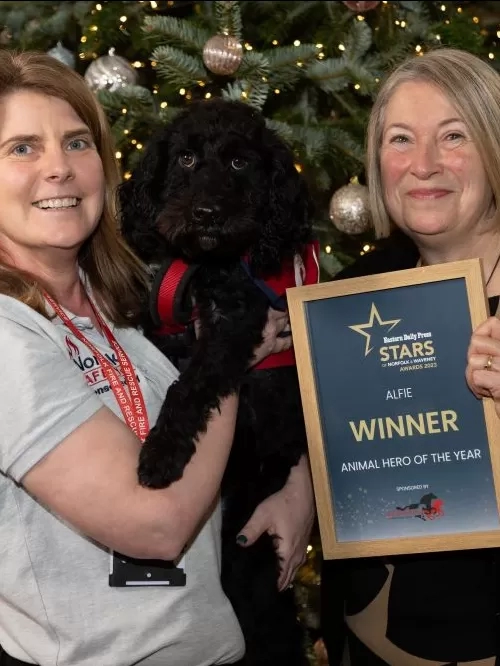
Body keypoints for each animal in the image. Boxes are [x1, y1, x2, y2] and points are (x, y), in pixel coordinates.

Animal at [119, 98, 314, 664]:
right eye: (185, 157)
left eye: (239, 163)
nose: (206, 214)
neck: (206, 266)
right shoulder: (164, 323)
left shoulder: (234, 328)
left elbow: (188, 388)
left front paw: (161, 455)